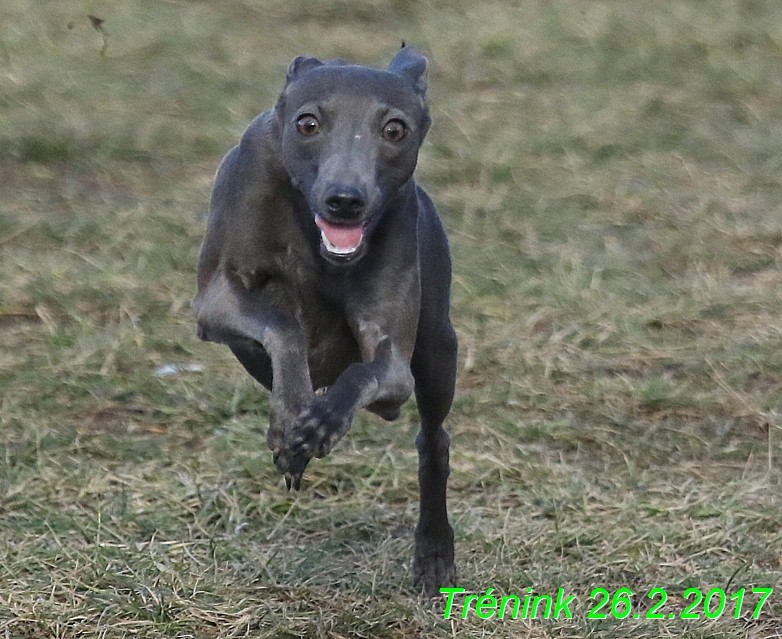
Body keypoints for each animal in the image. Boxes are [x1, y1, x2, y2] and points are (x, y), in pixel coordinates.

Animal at [192, 45, 456, 596]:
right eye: (307, 123)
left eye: (395, 129)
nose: (345, 200)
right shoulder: (214, 299)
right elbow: (284, 327)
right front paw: (292, 417)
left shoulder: (393, 361)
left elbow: (369, 371)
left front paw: (320, 422)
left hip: (439, 349)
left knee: (432, 439)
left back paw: (435, 552)